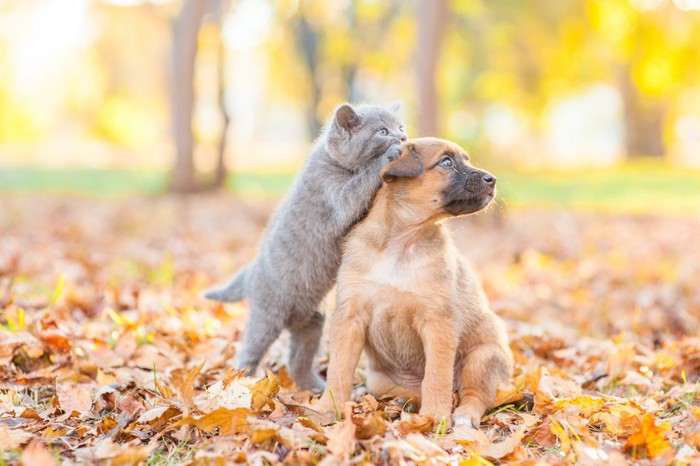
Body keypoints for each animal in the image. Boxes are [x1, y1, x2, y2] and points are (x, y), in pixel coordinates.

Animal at [204, 103, 404, 390]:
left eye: (401, 126)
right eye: (383, 131)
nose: (403, 137)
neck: (336, 162)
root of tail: (251, 274)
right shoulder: (331, 190)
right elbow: (357, 191)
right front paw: (390, 155)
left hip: (312, 321)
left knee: (297, 359)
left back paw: (313, 386)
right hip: (267, 315)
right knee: (250, 348)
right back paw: (245, 382)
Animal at [314, 137, 512, 426]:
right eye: (446, 162)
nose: (493, 179)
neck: (402, 243)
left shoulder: (438, 321)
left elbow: (436, 376)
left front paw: (434, 416)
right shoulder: (349, 318)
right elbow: (338, 371)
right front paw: (327, 409)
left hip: (482, 355)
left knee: (475, 396)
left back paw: (462, 415)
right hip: (378, 379)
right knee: (412, 390)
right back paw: (403, 402)